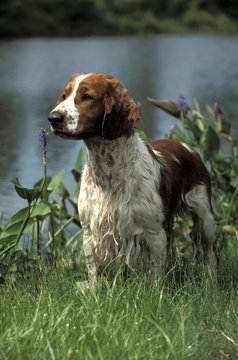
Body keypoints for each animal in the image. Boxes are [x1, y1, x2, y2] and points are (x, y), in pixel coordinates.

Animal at [47, 72, 217, 284]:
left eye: (87, 96)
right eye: (65, 95)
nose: (53, 118)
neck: (108, 173)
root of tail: (189, 147)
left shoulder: (154, 231)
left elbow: (155, 274)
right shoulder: (89, 231)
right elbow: (93, 271)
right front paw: (94, 291)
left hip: (205, 216)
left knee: (210, 252)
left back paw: (211, 282)